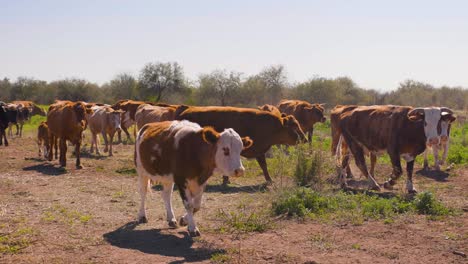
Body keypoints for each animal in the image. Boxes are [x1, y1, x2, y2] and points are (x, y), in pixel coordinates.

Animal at [176, 104, 308, 184]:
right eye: (294, 125)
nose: (305, 139)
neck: (270, 126)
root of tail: (185, 111)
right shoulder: (259, 152)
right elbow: (264, 166)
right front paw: (269, 180)